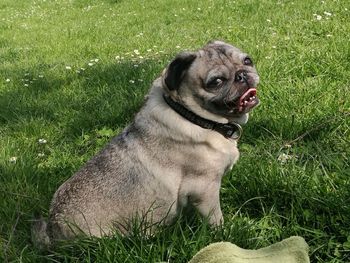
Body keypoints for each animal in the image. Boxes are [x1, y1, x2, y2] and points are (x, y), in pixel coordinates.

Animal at [32, 40, 260, 249]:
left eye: (247, 61)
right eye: (216, 81)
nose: (242, 74)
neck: (192, 116)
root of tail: (53, 228)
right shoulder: (205, 190)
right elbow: (216, 218)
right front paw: (224, 234)